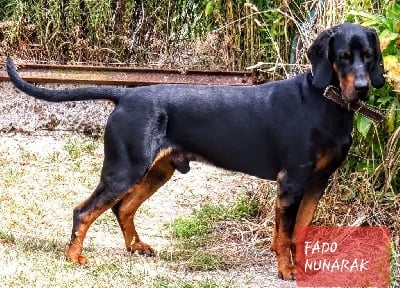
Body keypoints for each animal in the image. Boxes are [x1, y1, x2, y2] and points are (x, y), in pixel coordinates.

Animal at [6, 23, 384, 280]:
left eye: (369, 56)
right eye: (342, 57)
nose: (364, 87)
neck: (325, 103)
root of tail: (125, 95)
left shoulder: (317, 184)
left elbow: (300, 233)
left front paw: (302, 268)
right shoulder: (291, 183)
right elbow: (284, 234)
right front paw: (286, 271)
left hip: (158, 169)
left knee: (122, 208)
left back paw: (135, 247)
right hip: (125, 168)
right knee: (84, 211)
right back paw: (74, 258)